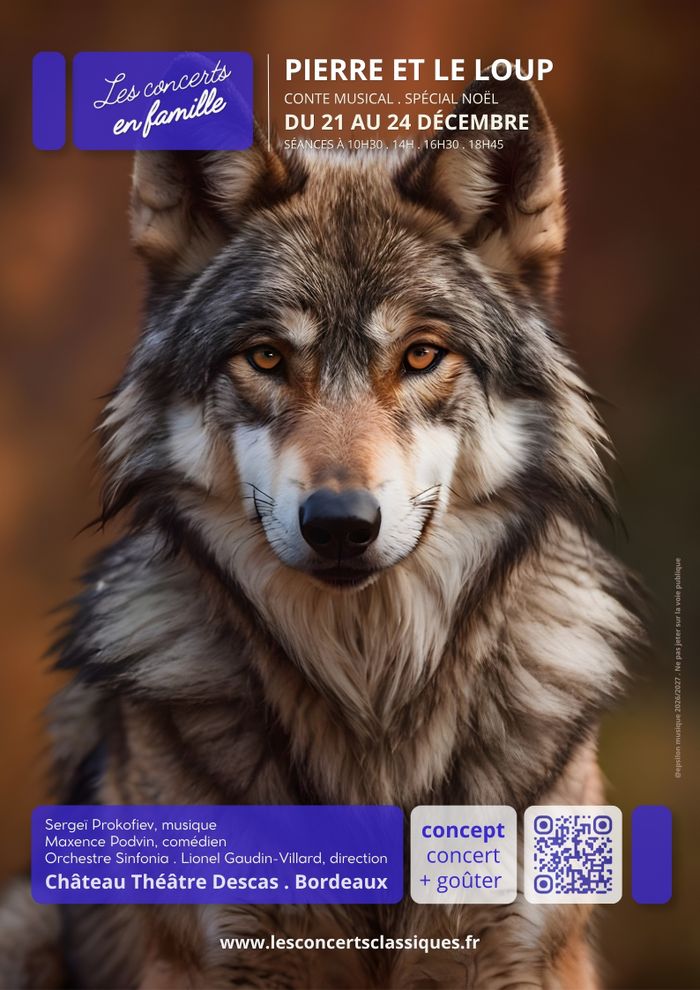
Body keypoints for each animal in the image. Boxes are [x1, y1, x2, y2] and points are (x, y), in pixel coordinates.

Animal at [0, 73, 641, 989]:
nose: (341, 525)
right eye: (266, 357)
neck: (369, 708)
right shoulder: (213, 956)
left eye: (420, 355)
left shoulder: (523, 955)